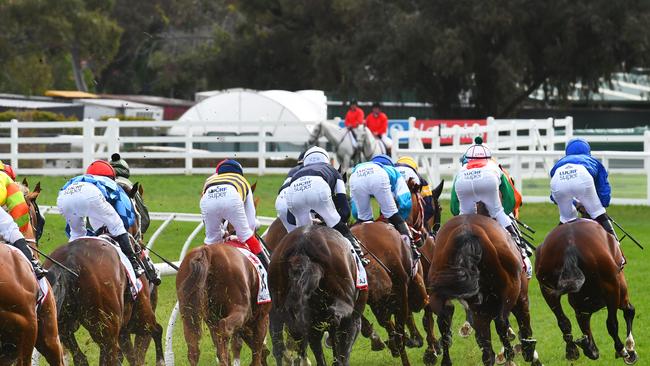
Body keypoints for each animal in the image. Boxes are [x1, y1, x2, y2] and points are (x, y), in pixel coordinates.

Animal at [47, 183, 163, 366]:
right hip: (106, 330)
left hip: (63, 326)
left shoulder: (124, 328)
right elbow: (155, 333)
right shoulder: (141, 318)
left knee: (80, 357)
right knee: (109, 355)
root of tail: (69, 261)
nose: (140, 244)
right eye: (139, 214)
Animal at [268, 226, 368, 366]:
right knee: (335, 322)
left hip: (281, 309)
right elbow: (344, 349)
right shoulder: (353, 319)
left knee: (283, 340)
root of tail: (302, 245)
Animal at [426, 214, 540, 366]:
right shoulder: (520, 298)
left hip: (451, 298)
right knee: (502, 323)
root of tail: (469, 233)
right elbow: (523, 327)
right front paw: (528, 354)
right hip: (511, 293)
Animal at [536, 219, 636, 364]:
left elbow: (582, 321)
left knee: (564, 321)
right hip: (612, 286)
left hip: (547, 290)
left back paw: (576, 349)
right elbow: (625, 314)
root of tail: (570, 245)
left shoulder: (580, 304)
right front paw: (628, 349)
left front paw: (588, 346)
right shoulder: (617, 288)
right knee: (614, 321)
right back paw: (622, 349)